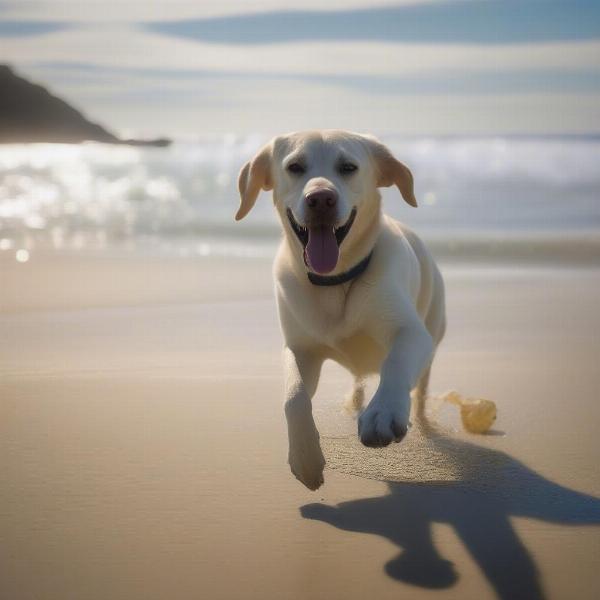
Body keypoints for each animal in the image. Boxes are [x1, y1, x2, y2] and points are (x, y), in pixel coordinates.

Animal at [237, 129, 442, 490]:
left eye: (348, 167)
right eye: (295, 166)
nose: (321, 199)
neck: (333, 282)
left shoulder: (410, 332)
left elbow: (396, 362)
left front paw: (383, 411)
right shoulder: (300, 349)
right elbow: (294, 396)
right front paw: (305, 457)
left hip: (434, 328)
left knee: (421, 385)